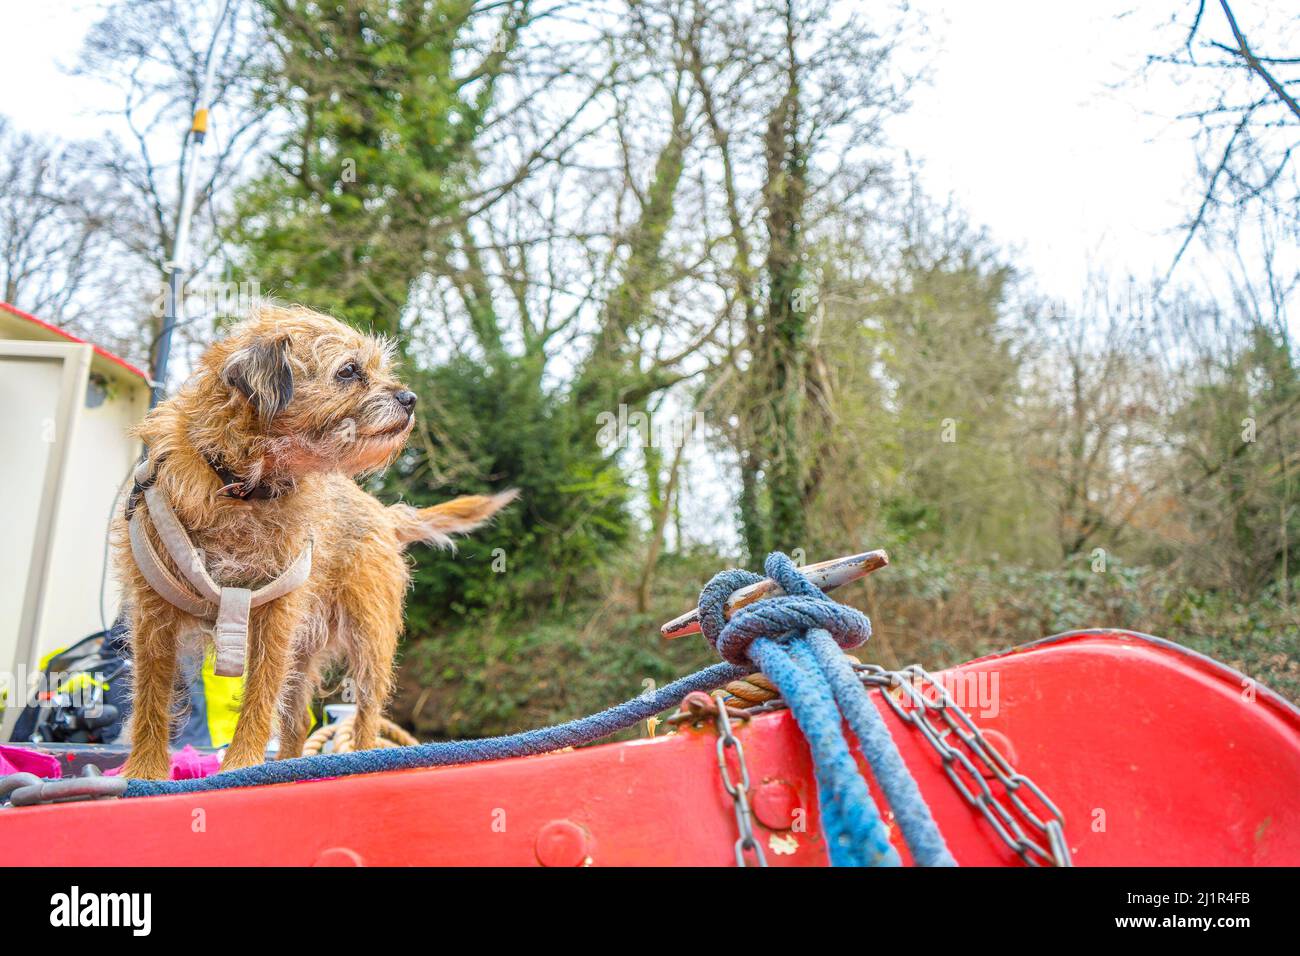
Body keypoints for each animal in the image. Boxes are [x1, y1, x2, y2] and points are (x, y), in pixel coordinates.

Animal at [115, 303, 512, 780]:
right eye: (348, 371)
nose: (410, 398)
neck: (240, 485)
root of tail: (382, 513)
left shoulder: (274, 616)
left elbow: (260, 694)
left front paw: (241, 764)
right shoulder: (153, 615)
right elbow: (151, 697)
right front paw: (143, 771)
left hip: (369, 638)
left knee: (365, 715)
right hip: (306, 647)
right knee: (300, 719)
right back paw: (288, 766)